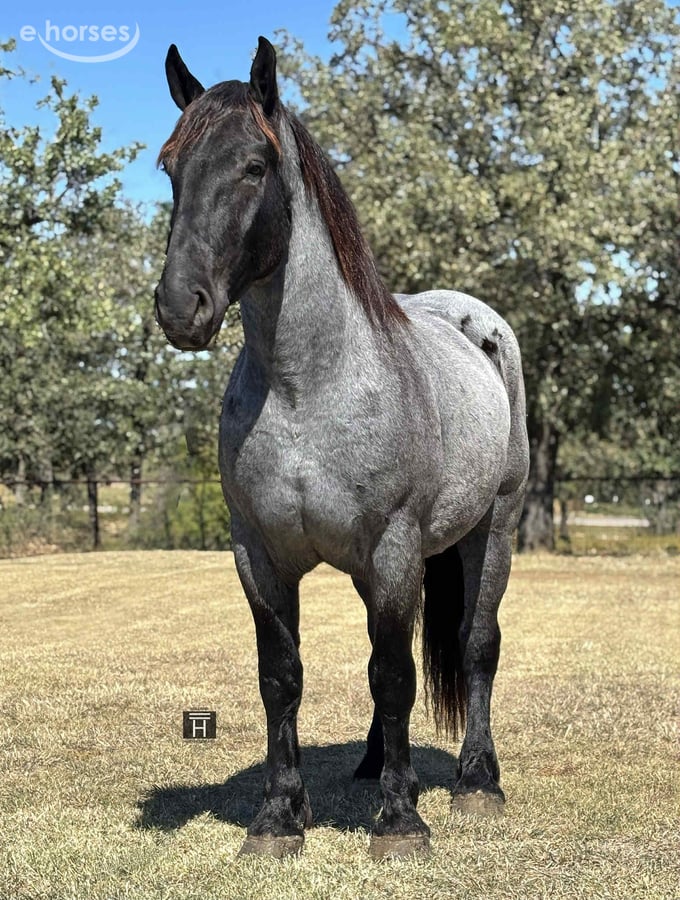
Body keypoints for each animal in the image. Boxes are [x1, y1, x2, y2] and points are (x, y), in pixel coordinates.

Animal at [154, 36, 529, 859]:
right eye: (170, 166)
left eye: (253, 167)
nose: (180, 306)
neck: (308, 388)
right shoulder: (258, 553)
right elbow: (283, 677)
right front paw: (278, 818)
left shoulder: (392, 546)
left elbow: (395, 673)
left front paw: (400, 825)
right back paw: (376, 764)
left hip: (493, 528)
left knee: (475, 644)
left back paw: (477, 782)